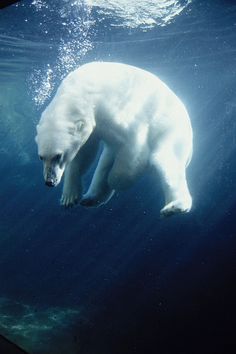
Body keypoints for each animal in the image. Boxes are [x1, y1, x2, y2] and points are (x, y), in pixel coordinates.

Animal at [36, 62, 193, 216]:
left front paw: (115, 180)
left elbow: (135, 149)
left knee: (165, 161)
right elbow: (84, 153)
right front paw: (69, 197)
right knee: (105, 161)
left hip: (172, 133)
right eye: (41, 157)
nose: (49, 181)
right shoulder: (91, 124)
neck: (80, 90)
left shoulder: (114, 109)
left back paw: (174, 206)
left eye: (58, 155)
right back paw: (90, 199)